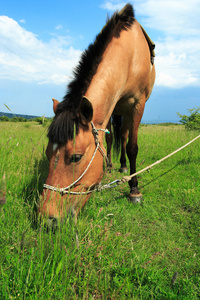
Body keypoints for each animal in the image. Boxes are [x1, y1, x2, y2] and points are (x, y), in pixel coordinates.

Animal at [38, 3, 155, 221]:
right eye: (48, 152)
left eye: (75, 157)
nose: (47, 218)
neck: (130, 55)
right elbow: (107, 138)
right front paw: (107, 168)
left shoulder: (137, 105)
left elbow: (132, 147)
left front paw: (134, 189)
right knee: (113, 138)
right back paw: (112, 165)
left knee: (124, 136)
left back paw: (124, 167)